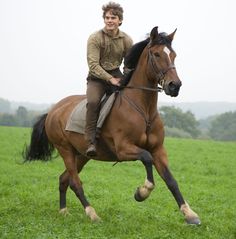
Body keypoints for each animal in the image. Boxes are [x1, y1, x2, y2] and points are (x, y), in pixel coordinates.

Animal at [24, 27, 201, 225]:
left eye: (173, 55)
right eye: (156, 54)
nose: (174, 86)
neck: (143, 110)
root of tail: (53, 111)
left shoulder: (158, 150)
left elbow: (171, 180)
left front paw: (190, 214)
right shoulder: (124, 149)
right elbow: (146, 158)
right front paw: (142, 192)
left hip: (82, 155)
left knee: (64, 179)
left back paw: (64, 211)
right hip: (66, 150)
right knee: (75, 183)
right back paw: (92, 214)